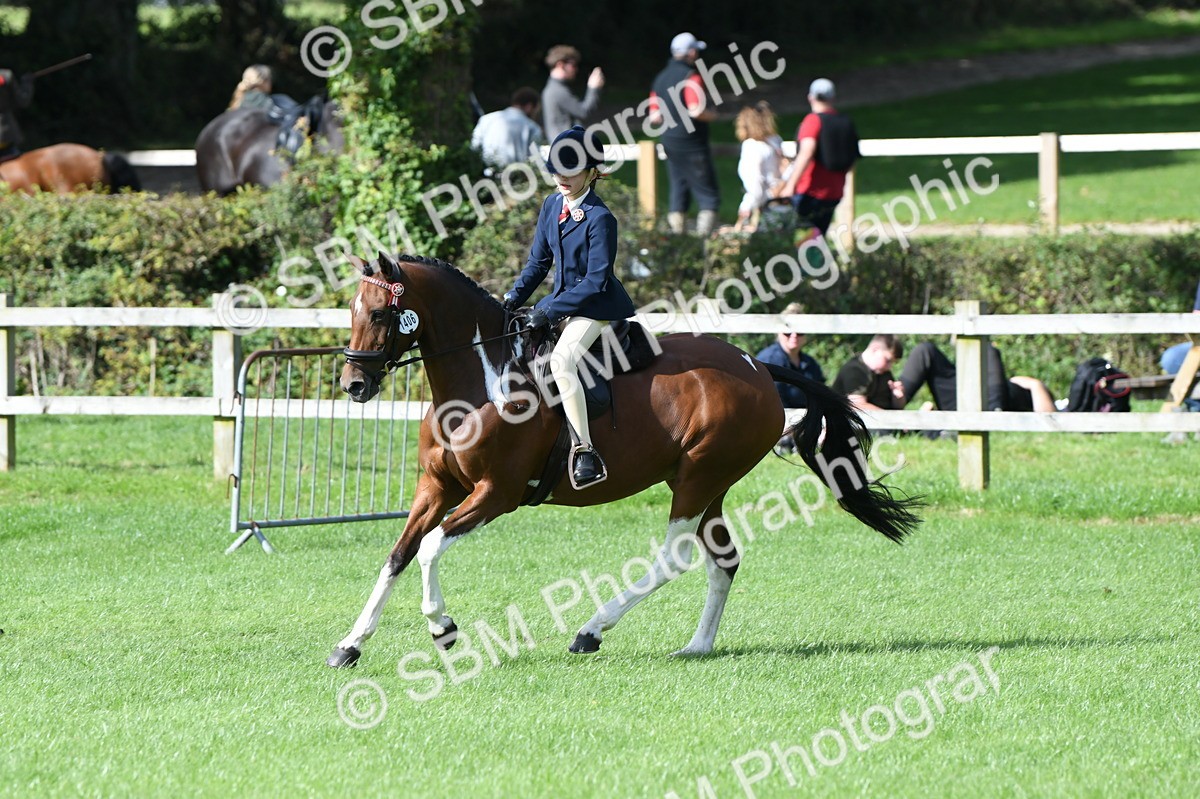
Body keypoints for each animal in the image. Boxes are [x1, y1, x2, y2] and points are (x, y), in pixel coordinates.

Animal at [326, 253, 923, 668]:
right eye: (352, 311)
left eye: (379, 312)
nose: (354, 385)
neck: (482, 381)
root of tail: (756, 366)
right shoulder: (436, 487)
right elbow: (398, 555)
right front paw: (350, 645)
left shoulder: (496, 493)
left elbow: (428, 549)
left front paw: (443, 628)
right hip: (707, 484)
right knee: (723, 560)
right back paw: (697, 646)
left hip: (699, 477)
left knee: (675, 557)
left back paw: (591, 630)